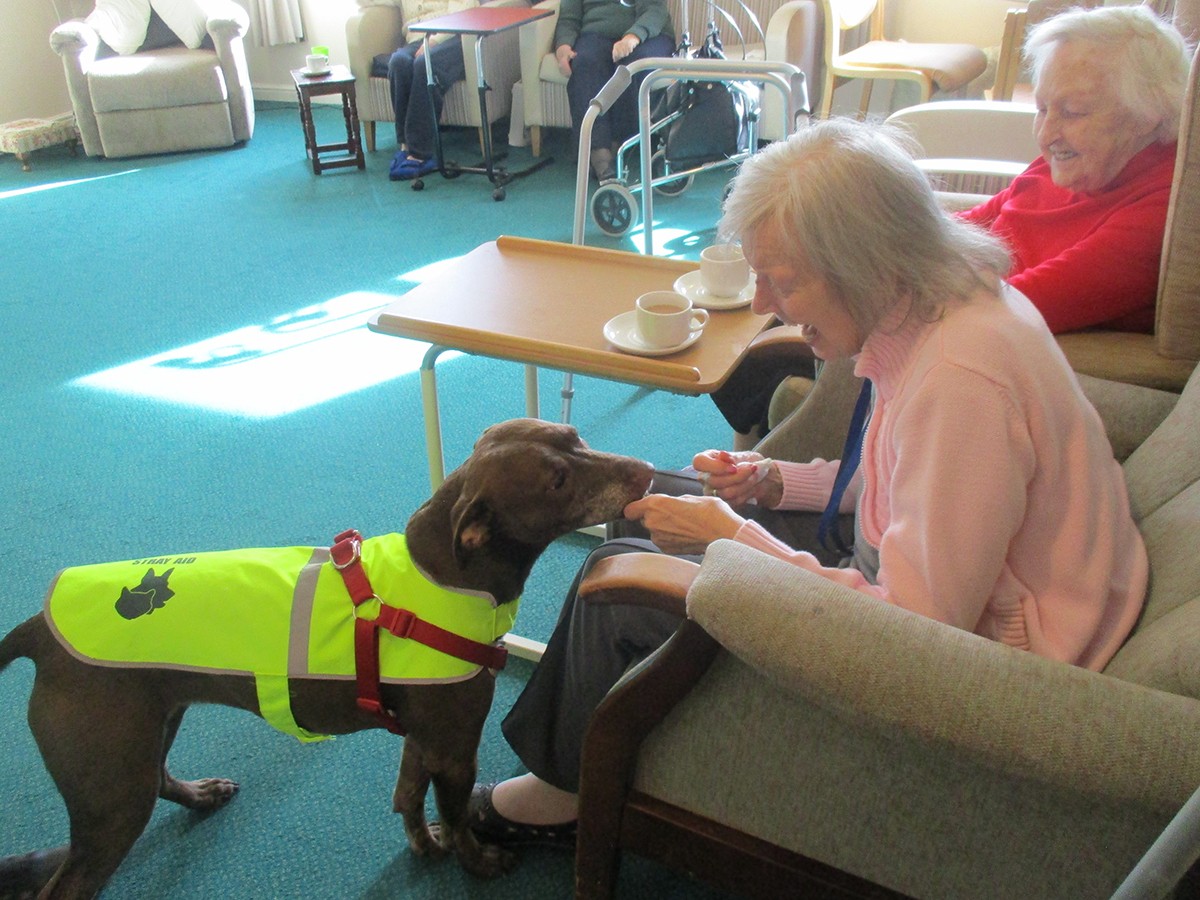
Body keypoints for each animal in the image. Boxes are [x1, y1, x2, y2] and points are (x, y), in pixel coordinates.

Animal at [0, 420, 652, 897]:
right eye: (558, 480)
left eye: (576, 437)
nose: (648, 471)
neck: (448, 574)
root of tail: (38, 630)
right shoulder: (453, 745)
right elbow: (457, 814)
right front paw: (476, 862)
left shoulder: (422, 738)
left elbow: (409, 798)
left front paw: (424, 846)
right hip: (112, 795)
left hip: (144, 739)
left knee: (160, 777)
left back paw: (202, 796)